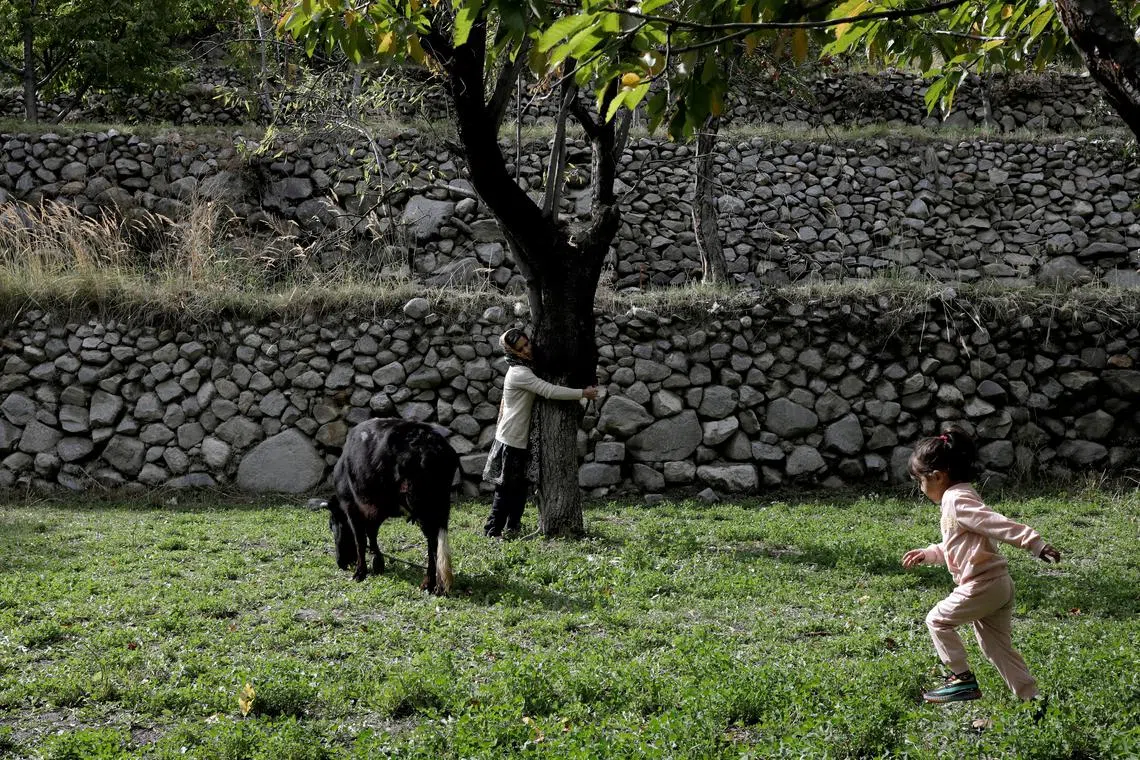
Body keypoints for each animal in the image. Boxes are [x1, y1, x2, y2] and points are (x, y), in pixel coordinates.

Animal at [314, 418, 459, 594]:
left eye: (332, 525)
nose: (340, 563)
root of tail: (434, 444)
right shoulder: (376, 509)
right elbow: (372, 533)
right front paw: (378, 563)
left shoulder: (352, 508)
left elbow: (360, 540)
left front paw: (360, 573)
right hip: (439, 508)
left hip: (424, 510)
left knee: (433, 544)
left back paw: (430, 585)